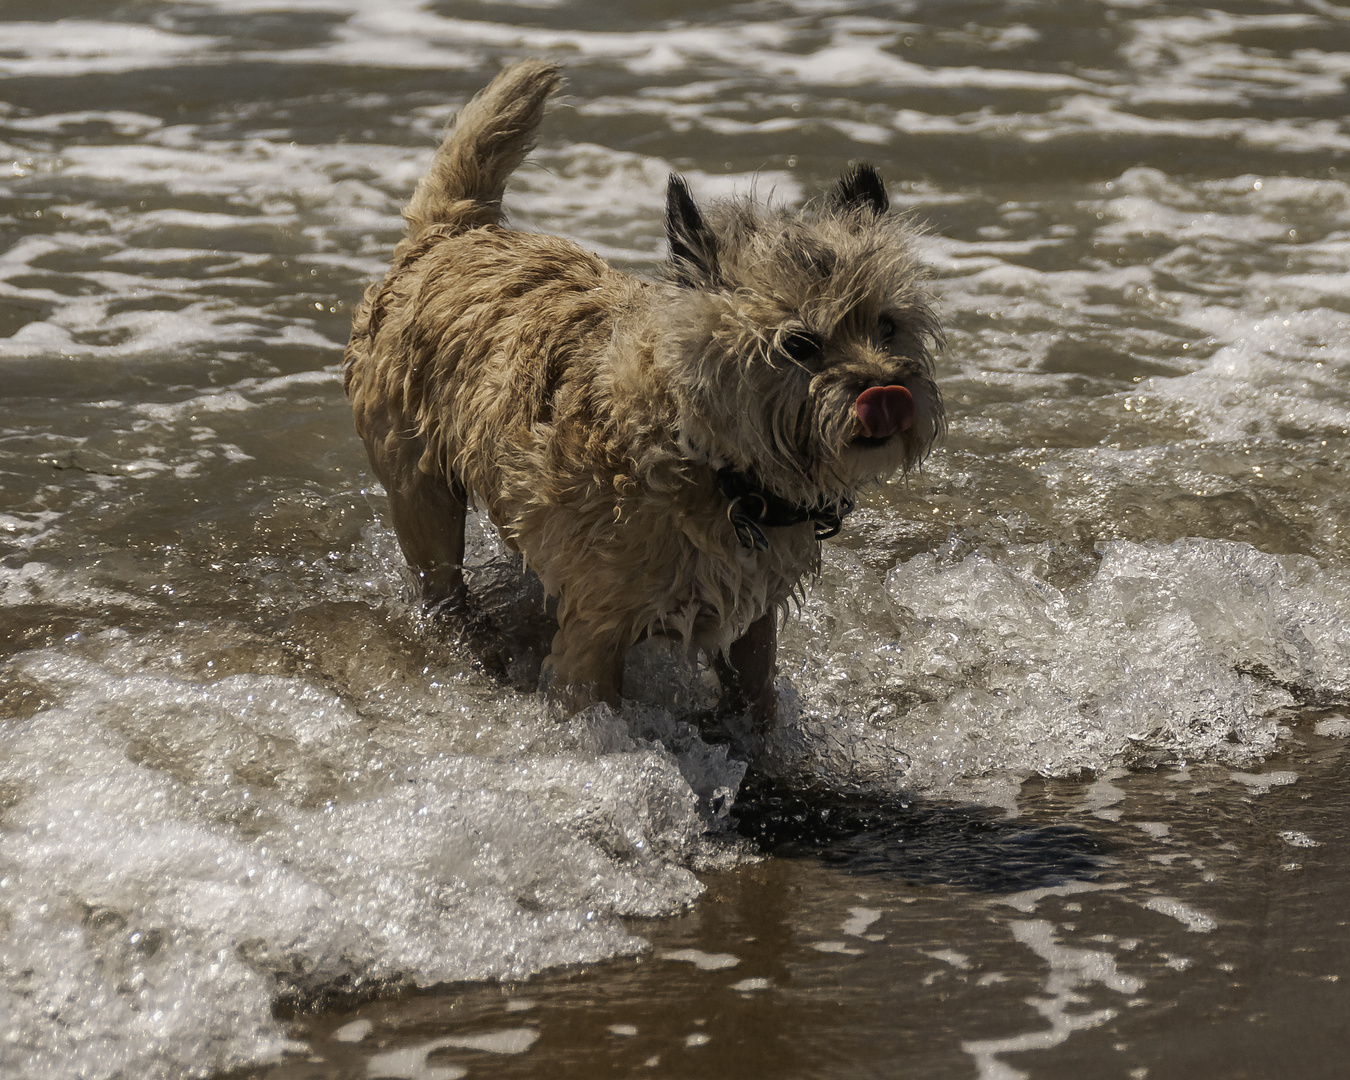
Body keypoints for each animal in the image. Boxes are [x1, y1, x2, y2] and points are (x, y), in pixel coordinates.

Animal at [342, 61, 945, 734]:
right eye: (799, 344)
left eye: (887, 326)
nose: (887, 390)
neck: (707, 458)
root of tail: (451, 234)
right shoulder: (594, 636)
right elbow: (596, 711)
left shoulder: (752, 622)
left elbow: (756, 699)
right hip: (420, 496)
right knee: (439, 583)